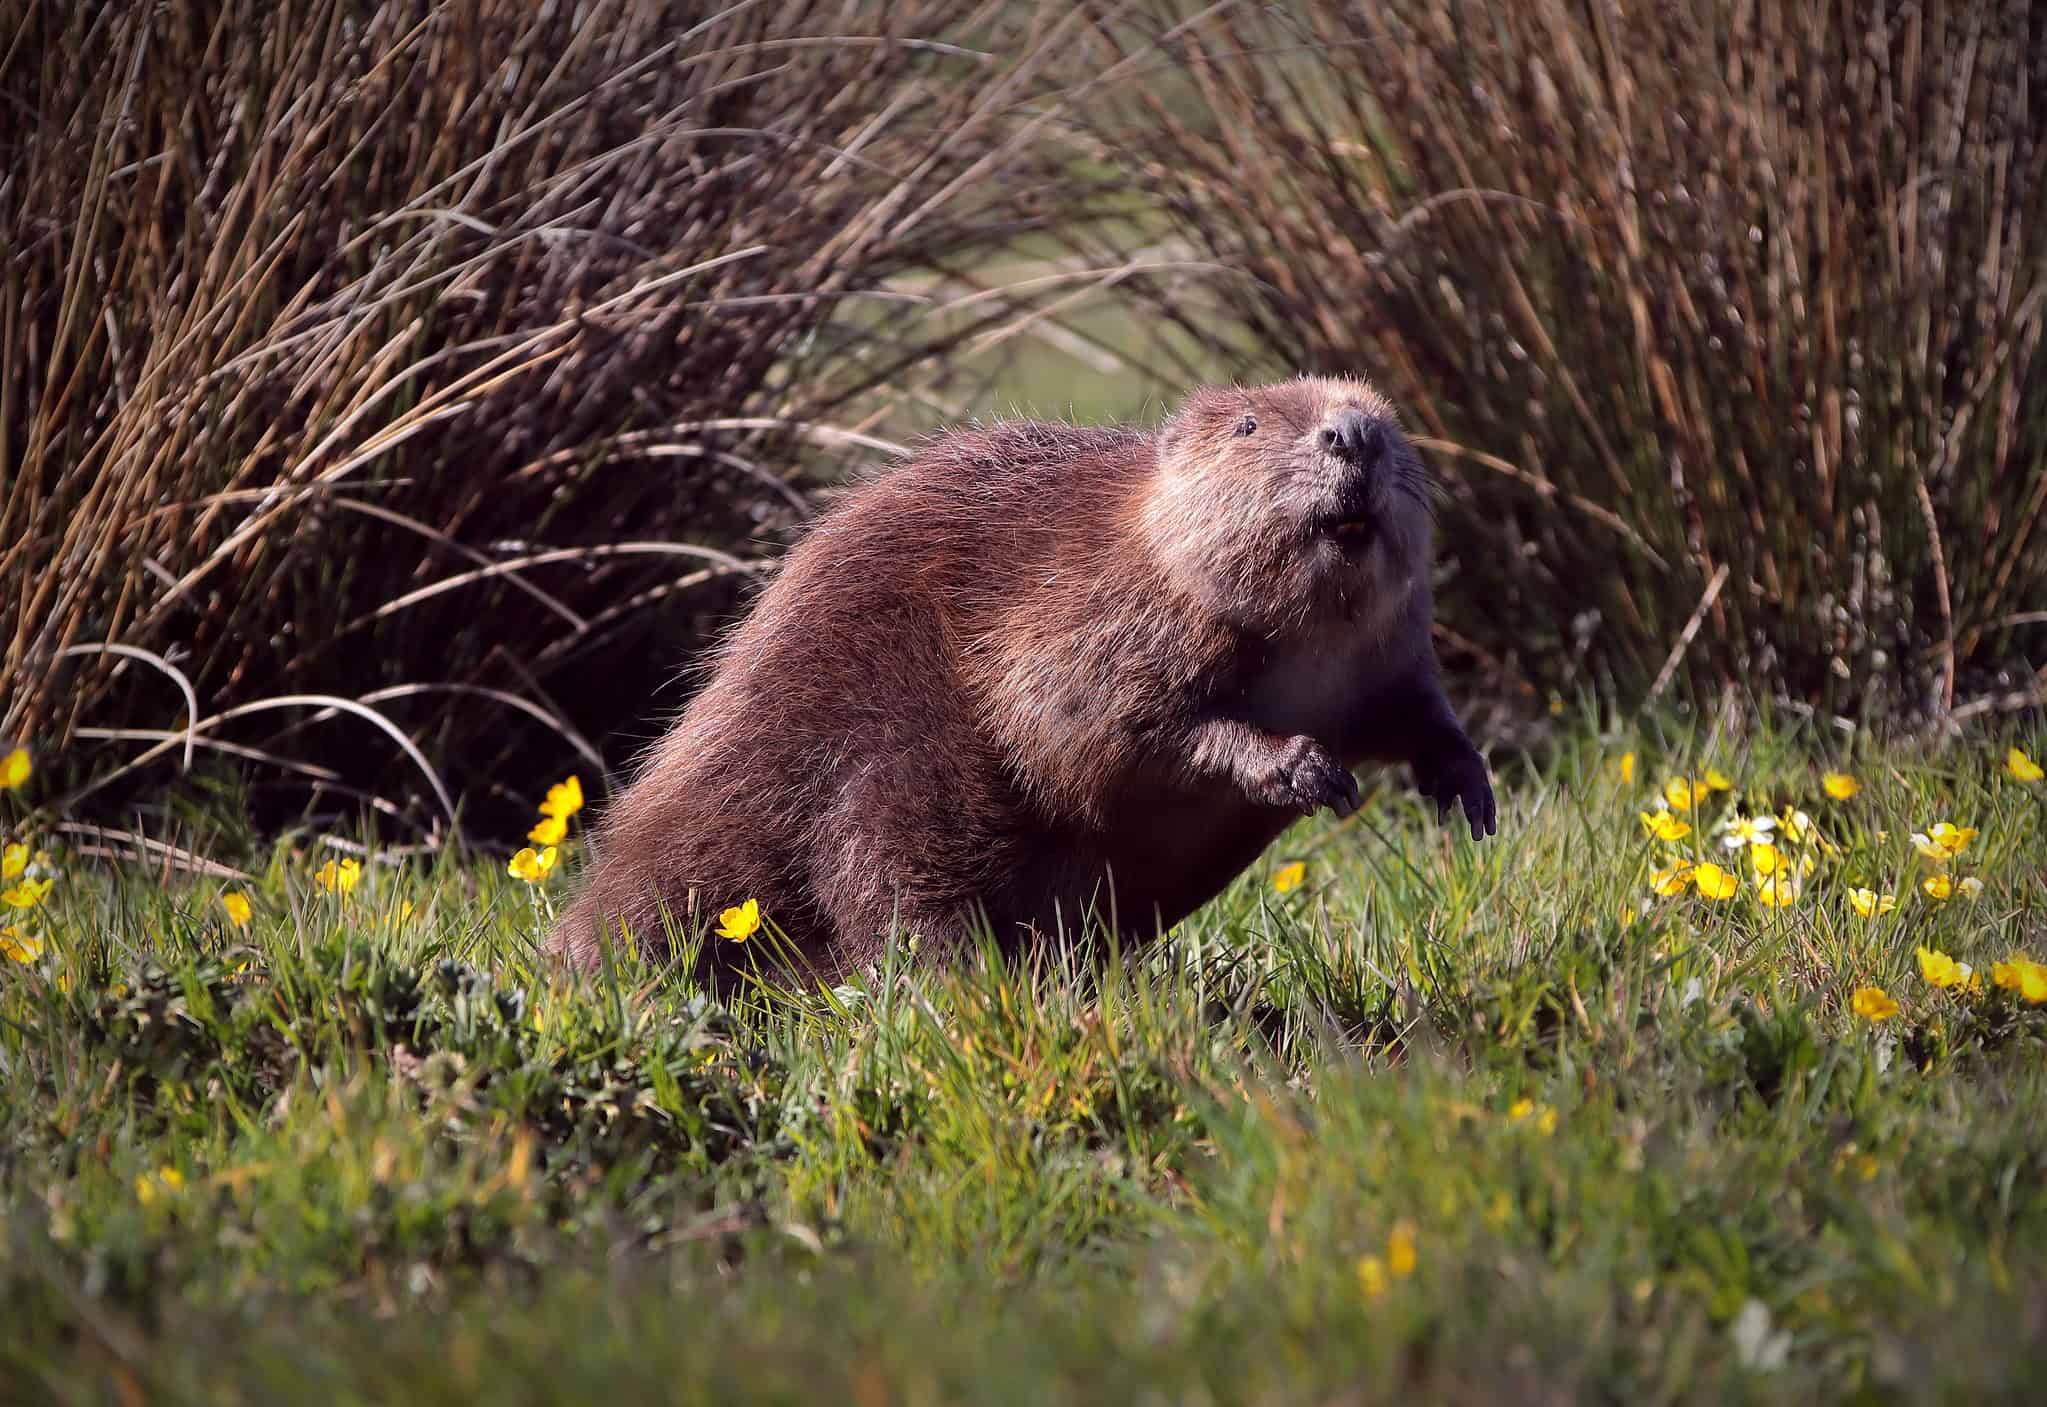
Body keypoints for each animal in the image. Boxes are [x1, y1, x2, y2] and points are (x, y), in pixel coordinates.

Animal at [552, 376, 1498, 978]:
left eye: (1388, 421)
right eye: (1249, 426)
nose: (1353, 434)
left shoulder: (1385, 649)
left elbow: (1415, 711)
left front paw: (1469, 798)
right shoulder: (1086, 613)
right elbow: (1101, 729)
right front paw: (1303, 768)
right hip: (883, 755)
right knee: (893, 878)